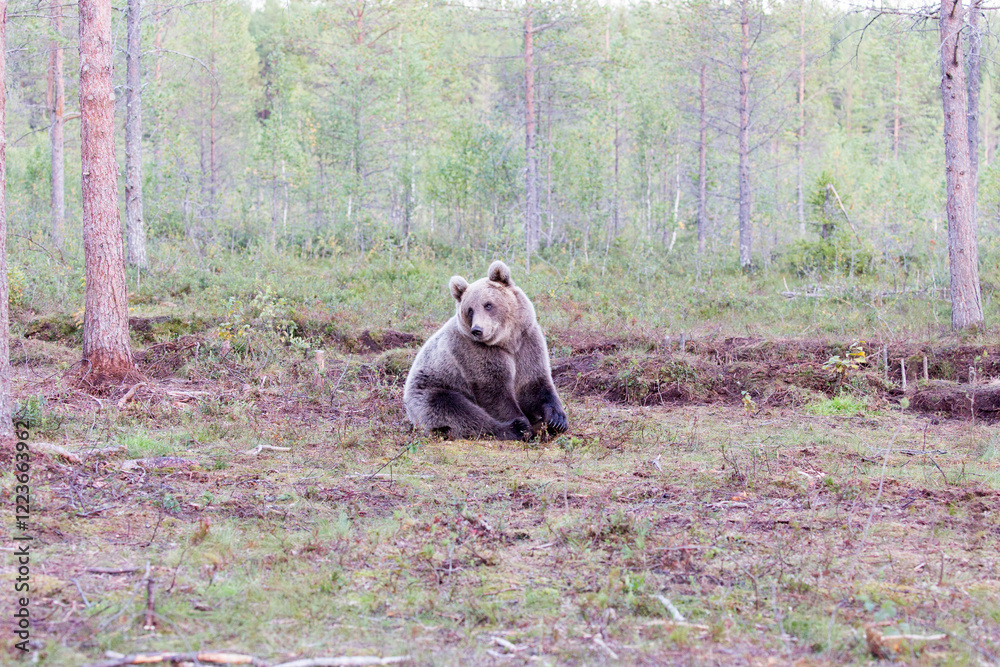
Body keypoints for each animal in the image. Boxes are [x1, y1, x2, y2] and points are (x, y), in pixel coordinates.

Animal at [403, 260, 568, 440]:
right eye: (470, 310)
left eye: (488, 305)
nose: (477, 330)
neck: (507, 342)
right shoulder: (477, 353)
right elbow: (495, 393)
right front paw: (524, 425)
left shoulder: (527, 343)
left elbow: (533, 383)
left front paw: (556, 420)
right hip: (429, 389)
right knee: (457, 411)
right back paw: (514, 428)